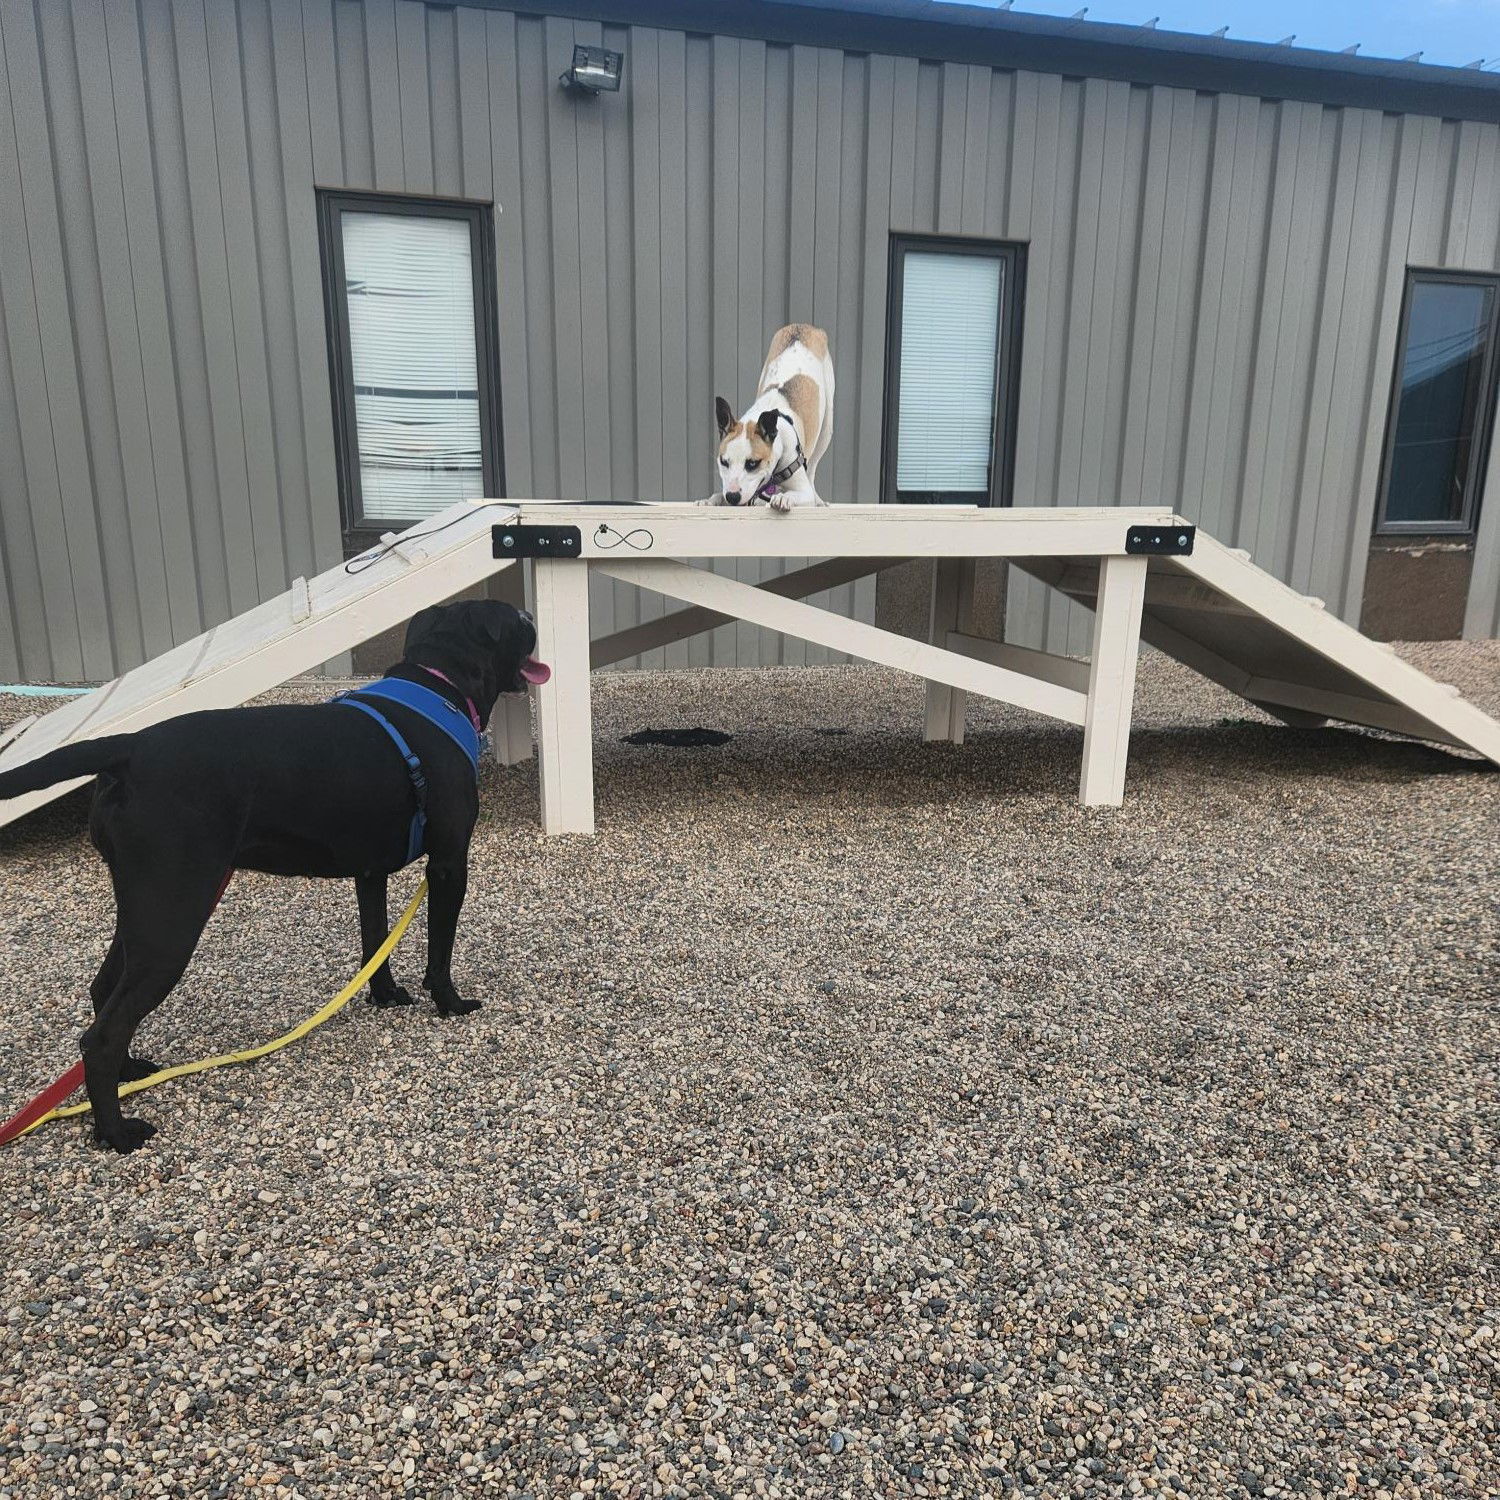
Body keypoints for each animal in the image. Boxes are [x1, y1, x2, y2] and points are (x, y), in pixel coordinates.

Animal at [0, 603, 549, 1152]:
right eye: (516, 621)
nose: (530, 615)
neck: (439, 683)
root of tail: (130, 747)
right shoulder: (449, 862)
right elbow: (439, 949)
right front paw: (451, 1003)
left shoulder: (370, 871)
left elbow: (375, 942)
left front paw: (385, 995)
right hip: (172, 919)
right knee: (102, 1034)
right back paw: (116, 1131)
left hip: (147, 911)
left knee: (102, 993)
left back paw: (129, 1072)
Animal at [702, 322, 834, 510]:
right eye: (724, 462)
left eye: (752, 464)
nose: (733, 496)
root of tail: (802, 326)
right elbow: (721, 495)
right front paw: (710, 500)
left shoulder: (803, 491)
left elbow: (797, 493)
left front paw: (783, 498)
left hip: (826, 428)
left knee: (813, 467)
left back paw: (818, 500)